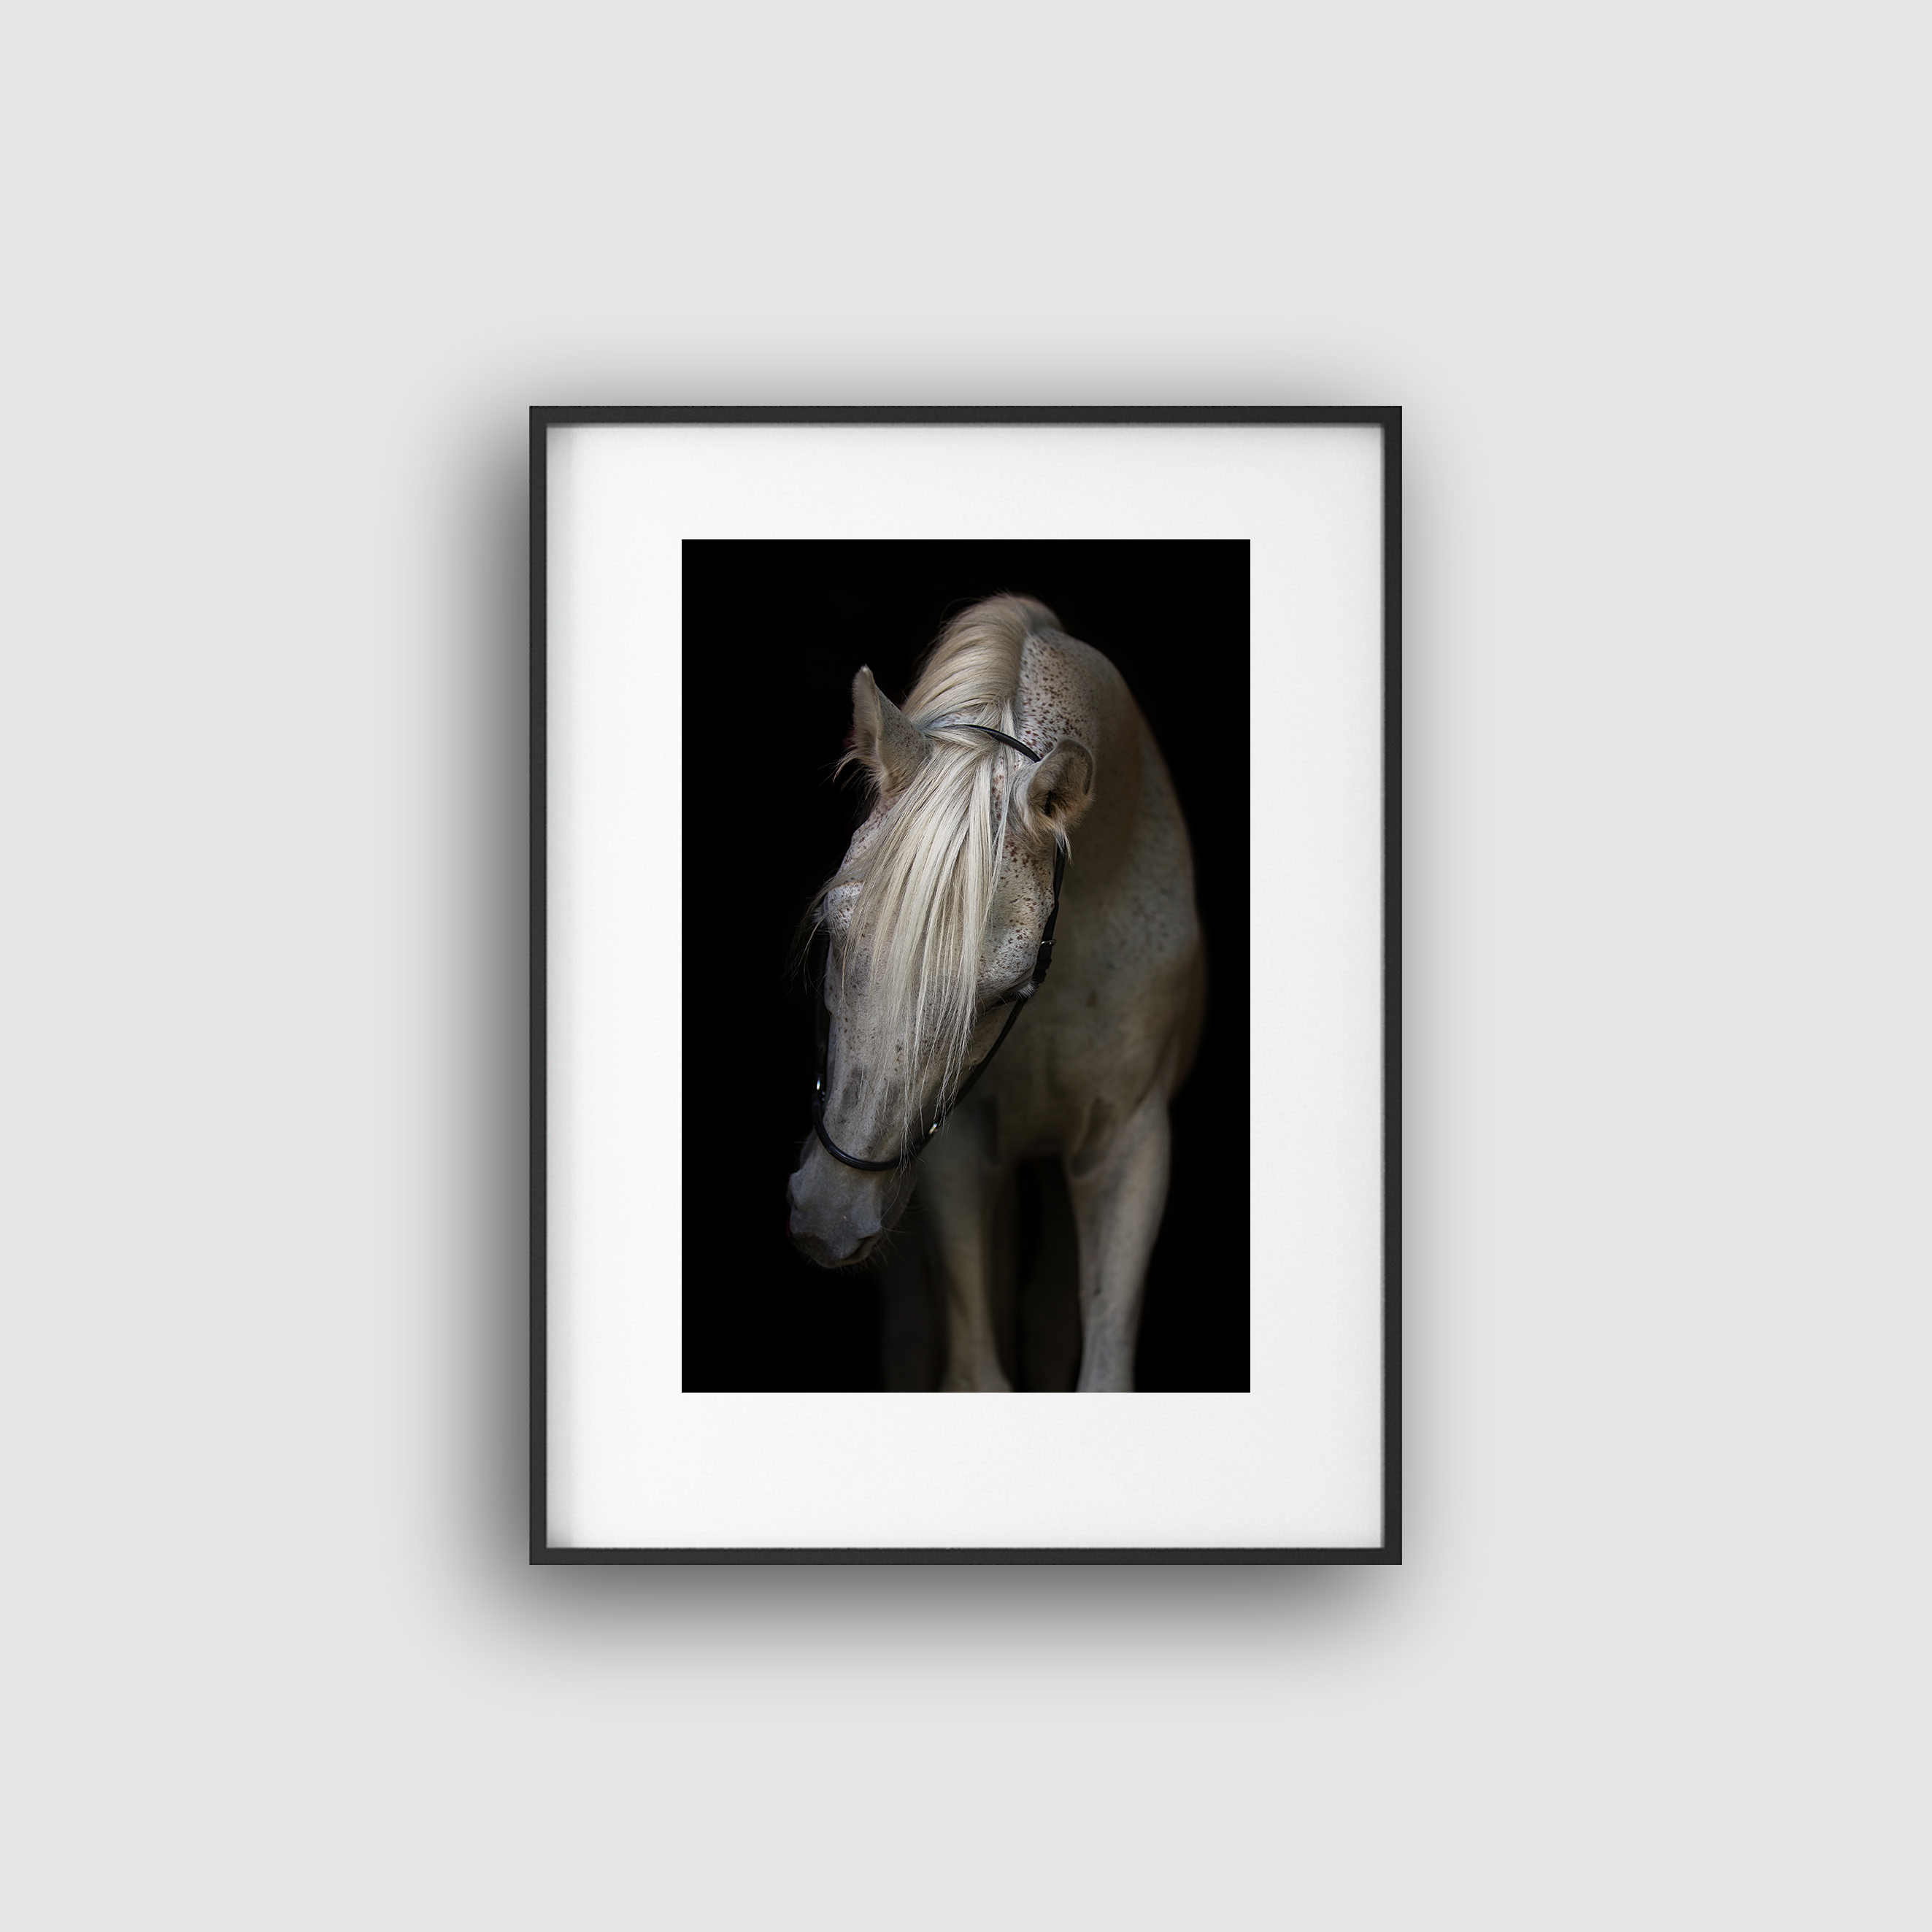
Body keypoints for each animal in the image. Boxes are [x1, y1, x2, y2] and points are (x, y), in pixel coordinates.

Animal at [784, 594, 1205, 1392]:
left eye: (1008, 988)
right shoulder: (958, 1147)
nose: (829, 1215)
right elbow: (976, 1369)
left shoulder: (1129, 1145)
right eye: (833, 932)